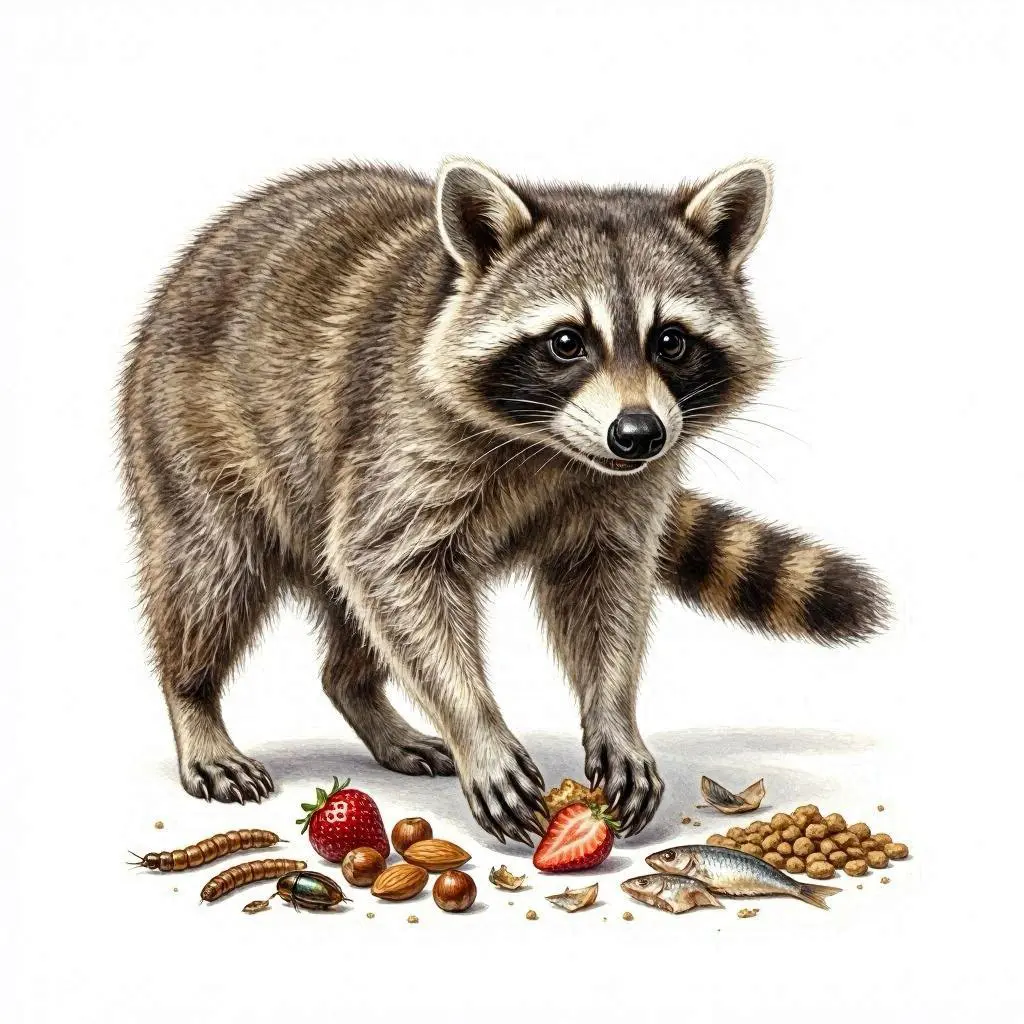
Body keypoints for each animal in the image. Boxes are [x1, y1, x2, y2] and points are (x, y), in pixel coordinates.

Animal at [117, 158, 888, 844]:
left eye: (671, 341)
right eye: (566, 342)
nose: (639, 433)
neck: (552, 446)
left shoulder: (624, 494)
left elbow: (605, 588)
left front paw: (614, 715)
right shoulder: (399, 440)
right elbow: (392, 567)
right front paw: (479, 728)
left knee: (346, 619)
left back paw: (364, 699)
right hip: (191, 441)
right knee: (213, 576)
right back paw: (194, 699)